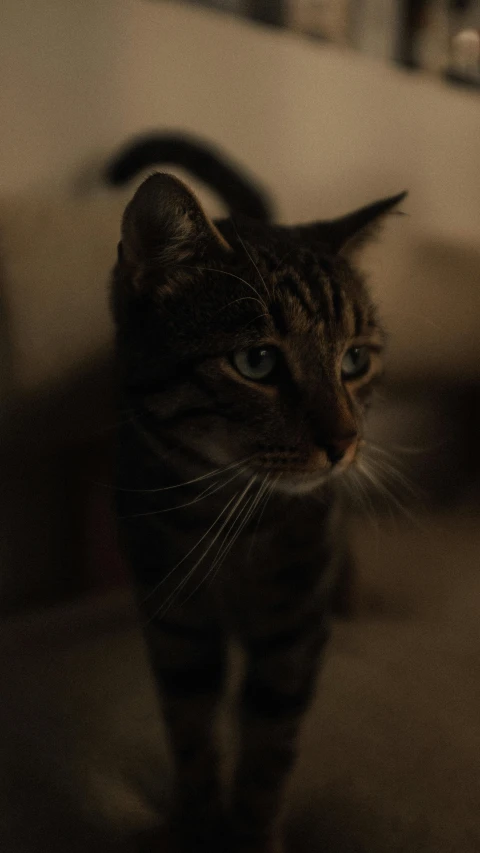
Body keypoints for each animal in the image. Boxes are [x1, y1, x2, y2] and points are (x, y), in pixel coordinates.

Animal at [109, 133, 404, 852]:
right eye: (257, 362)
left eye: (355, 360)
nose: (345, 441)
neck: (231, 520)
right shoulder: (175, 622)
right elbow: (190, 733)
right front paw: (194, 823)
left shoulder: (293, 630)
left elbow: (270, 748)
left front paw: (248, 833)